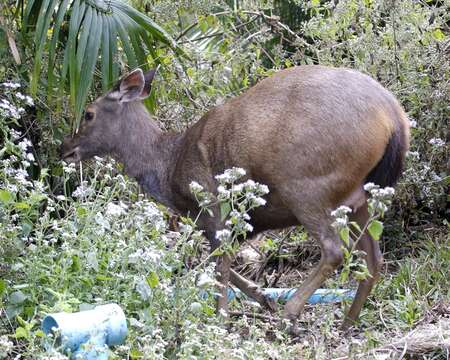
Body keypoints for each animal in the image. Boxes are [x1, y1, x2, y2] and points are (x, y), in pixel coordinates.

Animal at [60, 65, 412, 332]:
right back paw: (347, 323)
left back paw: (291, 315)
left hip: (308, 186)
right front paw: (263, 297)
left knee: (335, 250)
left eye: (88, 114)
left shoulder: (213, 207)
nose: (65, 148)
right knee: (374, 258)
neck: (169, 167)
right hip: (360, 199)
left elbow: (220, 266)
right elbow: (223, 265)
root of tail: (394, 119)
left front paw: (221, 317)